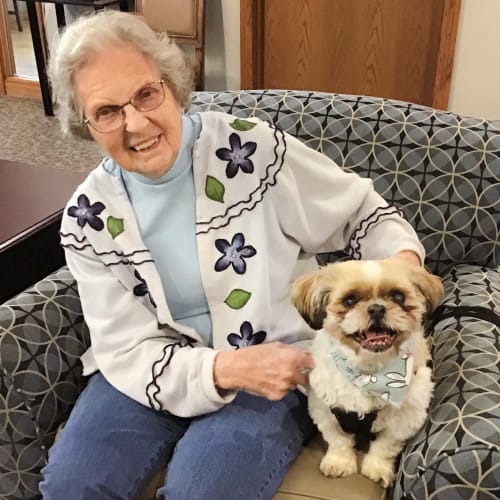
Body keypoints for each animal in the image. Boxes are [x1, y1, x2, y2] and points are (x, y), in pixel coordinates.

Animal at [292, 260, 444, 486]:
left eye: (398, 296)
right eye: (349, 300)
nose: (376, 308)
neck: (369, 374)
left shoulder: (407, 417)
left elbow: (385, 446)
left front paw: (377, 467)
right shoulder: (324, 409)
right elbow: (338, 440)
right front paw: (339, 462)